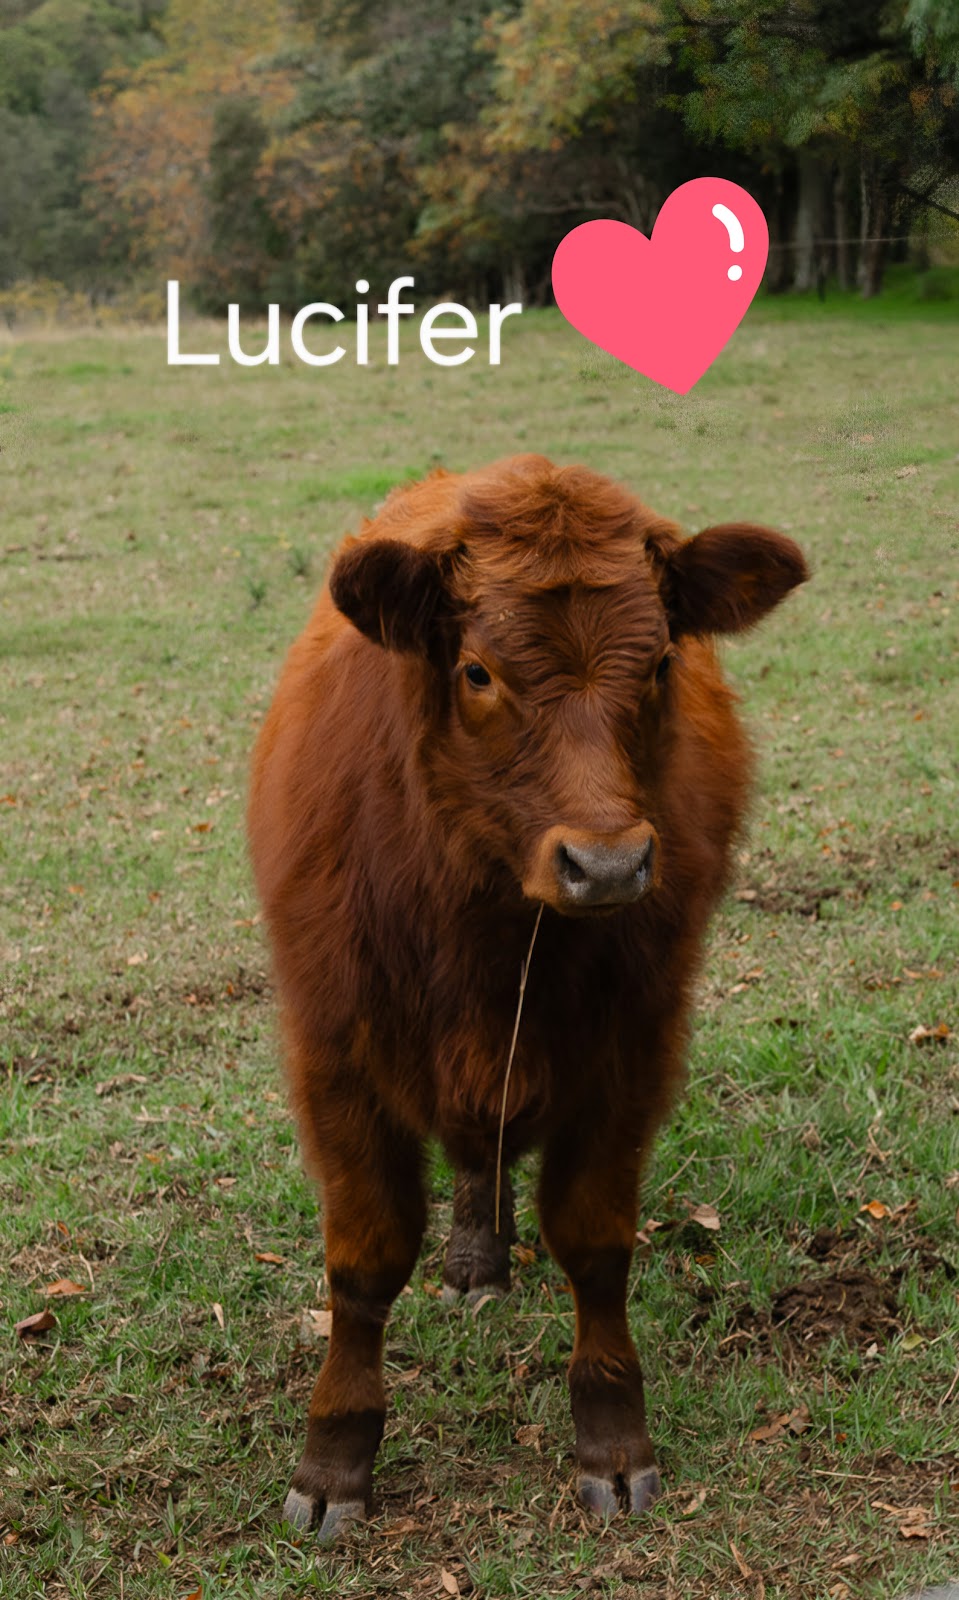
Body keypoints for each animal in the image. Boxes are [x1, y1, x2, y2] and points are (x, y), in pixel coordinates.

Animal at [247, 454, 808, 1540]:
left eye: (660, 663)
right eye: (477, 672)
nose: (608, 864)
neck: (490, 930)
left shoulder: (633, 1049)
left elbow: (594, 1244)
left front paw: (613, 1440)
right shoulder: (335, 1053)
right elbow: (364, 1262)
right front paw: (334, 1459)